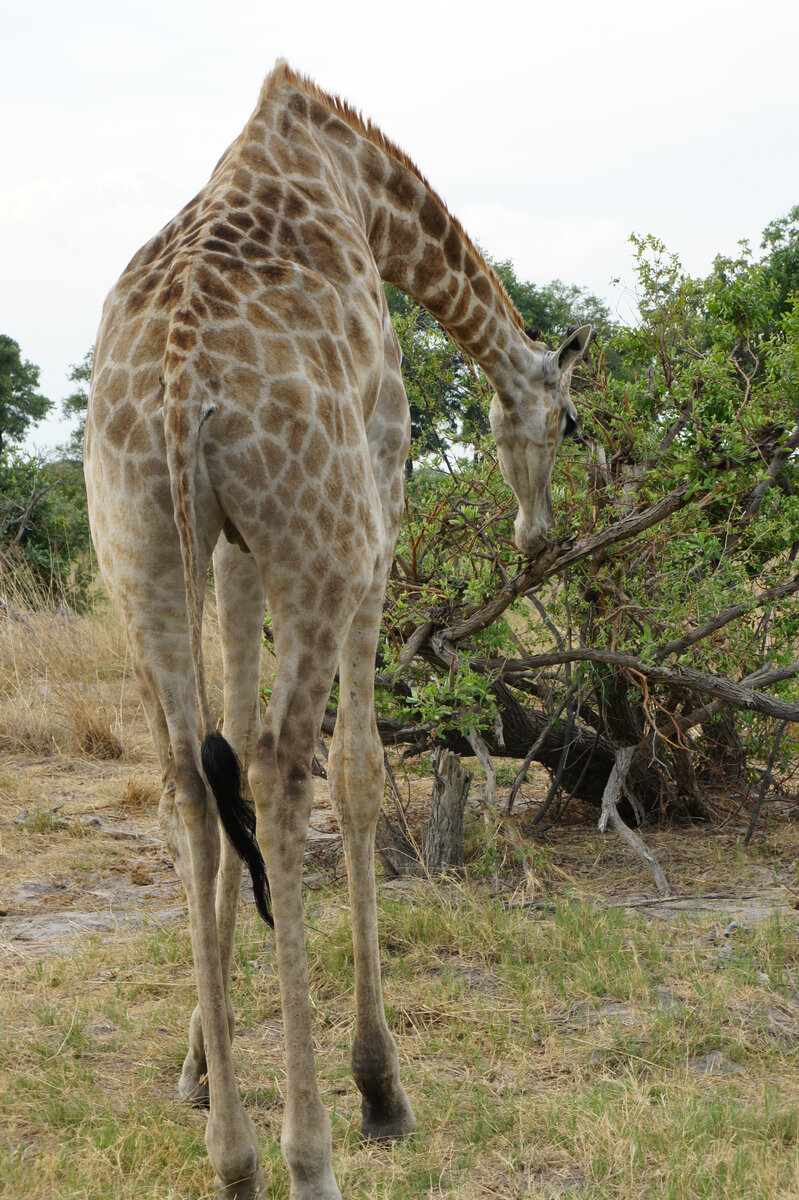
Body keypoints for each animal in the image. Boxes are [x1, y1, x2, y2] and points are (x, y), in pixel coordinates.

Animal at [83, 63, 587, 1200]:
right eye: (570, 420)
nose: (538, 534)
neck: (359, 182)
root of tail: (178, 382)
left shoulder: (230, 545)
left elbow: (220, 761)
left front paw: (195, 1063)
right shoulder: (381, 498)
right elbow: (356, 773)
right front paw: (378, 1085)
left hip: (138, 544)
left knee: (189, 779)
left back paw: (231, 1154)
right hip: (322, 537)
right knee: (280, 769)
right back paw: (310, 1148)